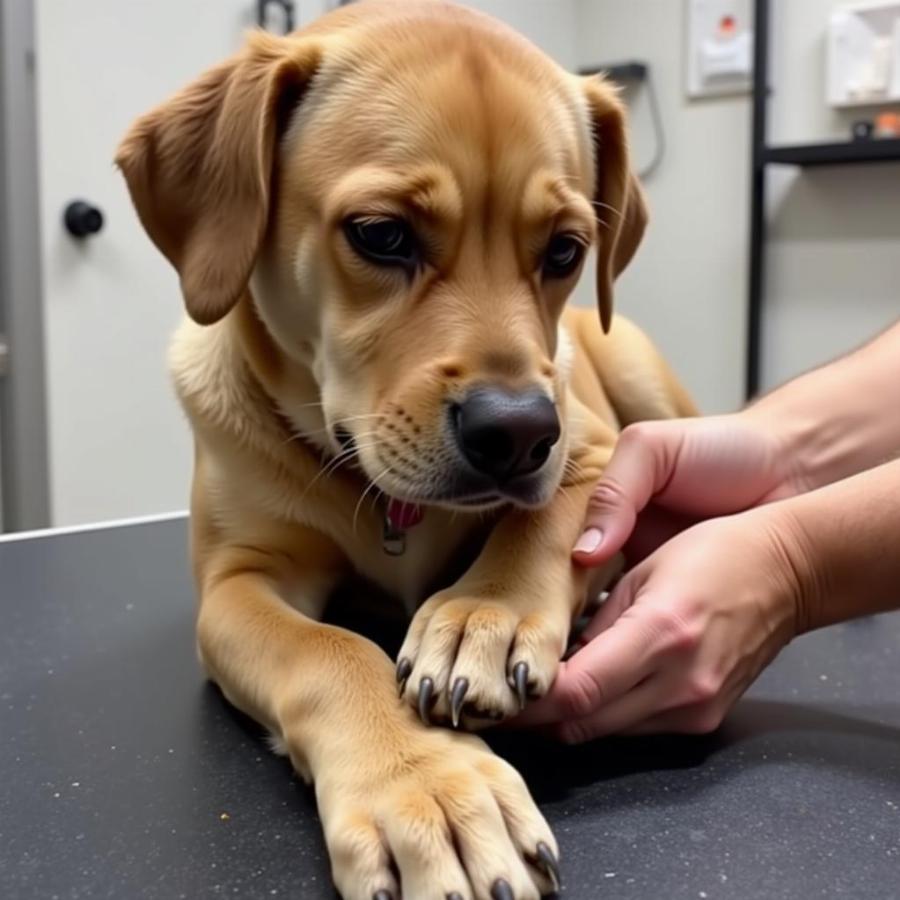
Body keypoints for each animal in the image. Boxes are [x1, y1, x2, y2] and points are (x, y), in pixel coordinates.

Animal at [114, 3, 696, 896]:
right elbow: (327, 651)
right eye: (382, 235)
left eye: (565, 251)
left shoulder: (597, 456)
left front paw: (484, 612)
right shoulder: (237, 580)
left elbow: (548, 517)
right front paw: (428, 785)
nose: (520, 433)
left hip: (635, 368)